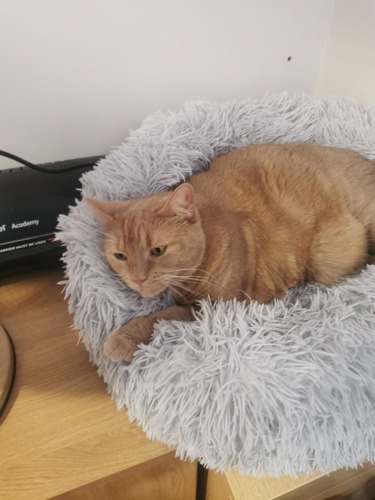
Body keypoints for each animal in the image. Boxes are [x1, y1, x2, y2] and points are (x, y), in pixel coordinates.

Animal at [86, 143, 375, 362]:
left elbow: (161, 316)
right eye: (120, 256)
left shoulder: (212, 307)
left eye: (158, 250)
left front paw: (124, 337)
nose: (138, 279)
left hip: (327, 257)